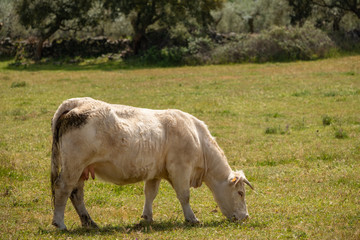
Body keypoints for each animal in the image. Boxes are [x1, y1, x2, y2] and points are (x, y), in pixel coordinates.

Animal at [50, 97, 253, 231]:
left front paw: (147, 217)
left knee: (76, 194)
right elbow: (184, 196)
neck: (197, 138)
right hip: (73, 165)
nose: (245, 217)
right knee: (62, 188)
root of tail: (77, 103)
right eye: (240, 193)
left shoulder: (155, 173)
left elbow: (150, 194)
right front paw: (192, 218)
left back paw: (89, 223)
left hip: (81, 169)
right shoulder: (180, 169)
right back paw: (60, 223)